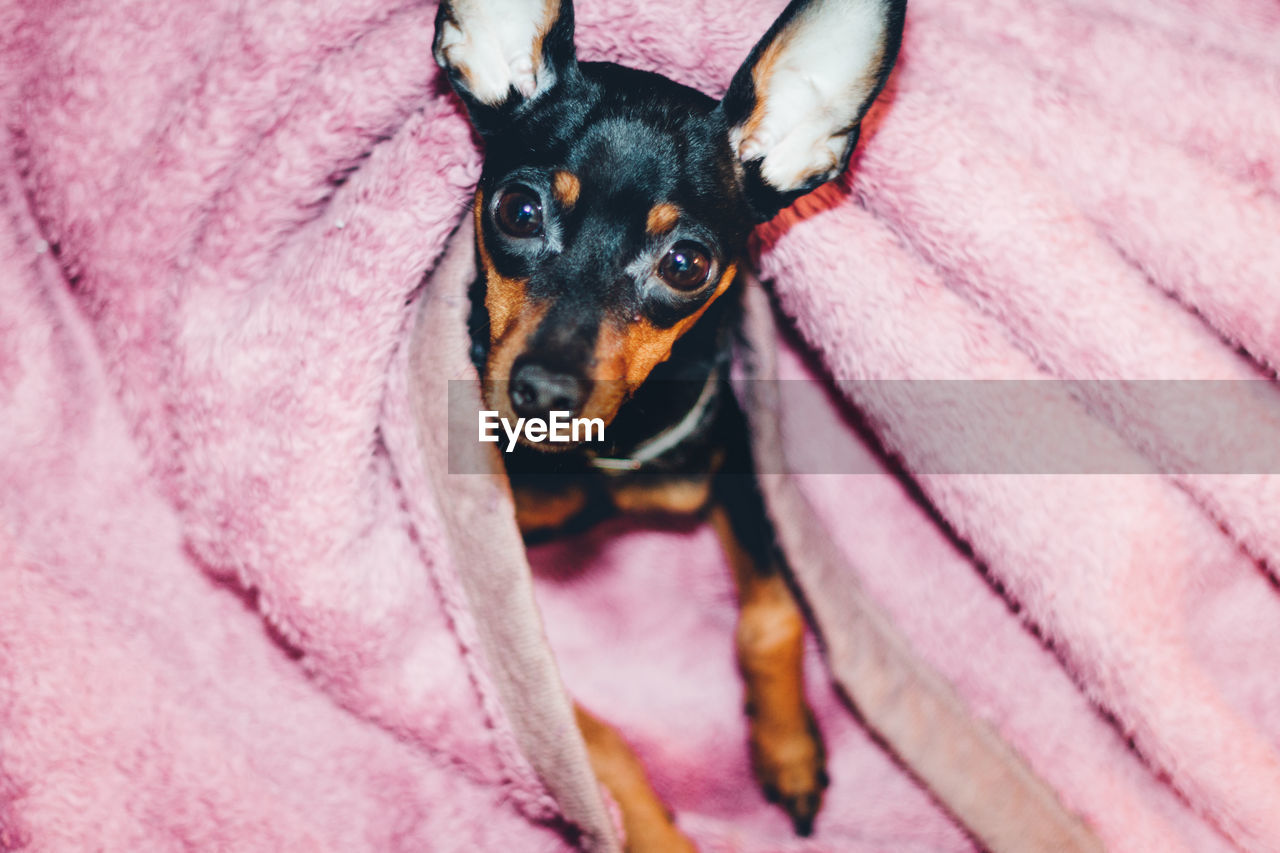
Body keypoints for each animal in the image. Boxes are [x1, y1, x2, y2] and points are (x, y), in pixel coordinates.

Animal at [435, 0, 906, 845]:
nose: (543, 390)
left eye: (687, 264)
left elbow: (775, 610)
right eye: (517, 211)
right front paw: (657, 833)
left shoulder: (734, 458)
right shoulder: (498, 598)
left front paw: (787, 746)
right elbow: (590, 740)